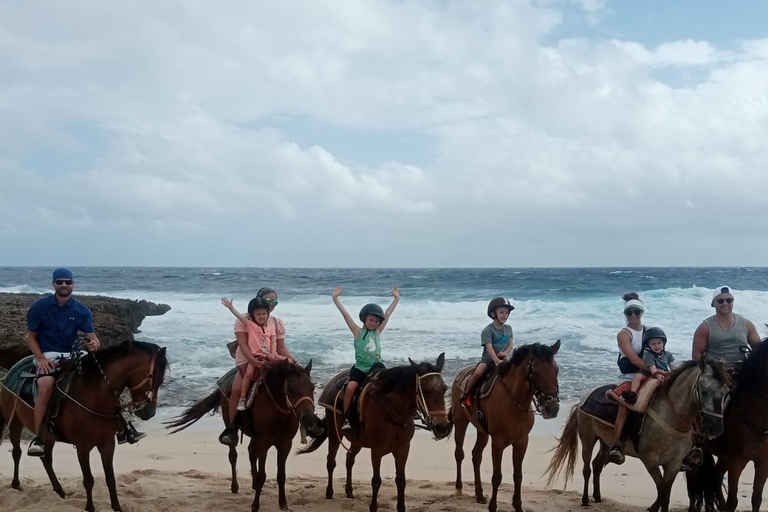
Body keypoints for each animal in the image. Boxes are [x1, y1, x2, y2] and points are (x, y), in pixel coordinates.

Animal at [0, 340, 169, 512]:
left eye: (162, 381)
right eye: (153, 377)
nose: (149, 412)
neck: (94, 396)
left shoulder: (107, 444)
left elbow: (110, 478)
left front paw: (117, 507)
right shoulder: (82, 447)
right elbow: (88, 479)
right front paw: (90, 508)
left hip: (48, 434)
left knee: (46, 459)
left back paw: (59, 491)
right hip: (15, 423)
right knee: (17, 452)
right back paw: (16, 484)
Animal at [168, 360, 320, 512]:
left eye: (312, 388)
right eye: (291, 390)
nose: (309, 419)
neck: (278, 413)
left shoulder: (285, 444)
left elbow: (281, 475)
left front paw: (283, 503)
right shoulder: (264, 443)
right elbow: (262, 475)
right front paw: (255, 505)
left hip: (256, 436)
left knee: (251, 452)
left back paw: (254, 485)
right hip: (230, 422)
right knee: (233, 455)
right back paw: (235, 486)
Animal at [296, 354, 450, 512]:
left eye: (445, 389)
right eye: (426, 390)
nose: (442, 427)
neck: (392, 410)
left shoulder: (403, 449)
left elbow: (401, 480)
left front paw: (401, 507)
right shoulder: (377, 450)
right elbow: (376, 480)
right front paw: (373, 507)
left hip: (357, 440)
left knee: (349, 459)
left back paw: (349, 491)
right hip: (334, 432)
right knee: (331, 461)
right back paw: (329, 492)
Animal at [448, 340, 560, 512]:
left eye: (557, 370)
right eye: (535, 372)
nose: (552, 409)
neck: (515, 401)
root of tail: (461, 373)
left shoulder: (522, 442)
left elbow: (518, 476)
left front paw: (518, 506)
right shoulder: (498, 443)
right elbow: (497, 476)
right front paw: (493, 506)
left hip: (482, 431)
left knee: (476, 456)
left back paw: (479, 494)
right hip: (461, 422)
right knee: (459, 453)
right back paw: (459, 488)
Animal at [688, 336, 768, 512]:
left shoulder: (763, 462)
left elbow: (756, 499)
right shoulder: (738, 461)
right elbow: (733, 501)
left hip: (724, 457)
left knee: (716, 476)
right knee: (692, 487)